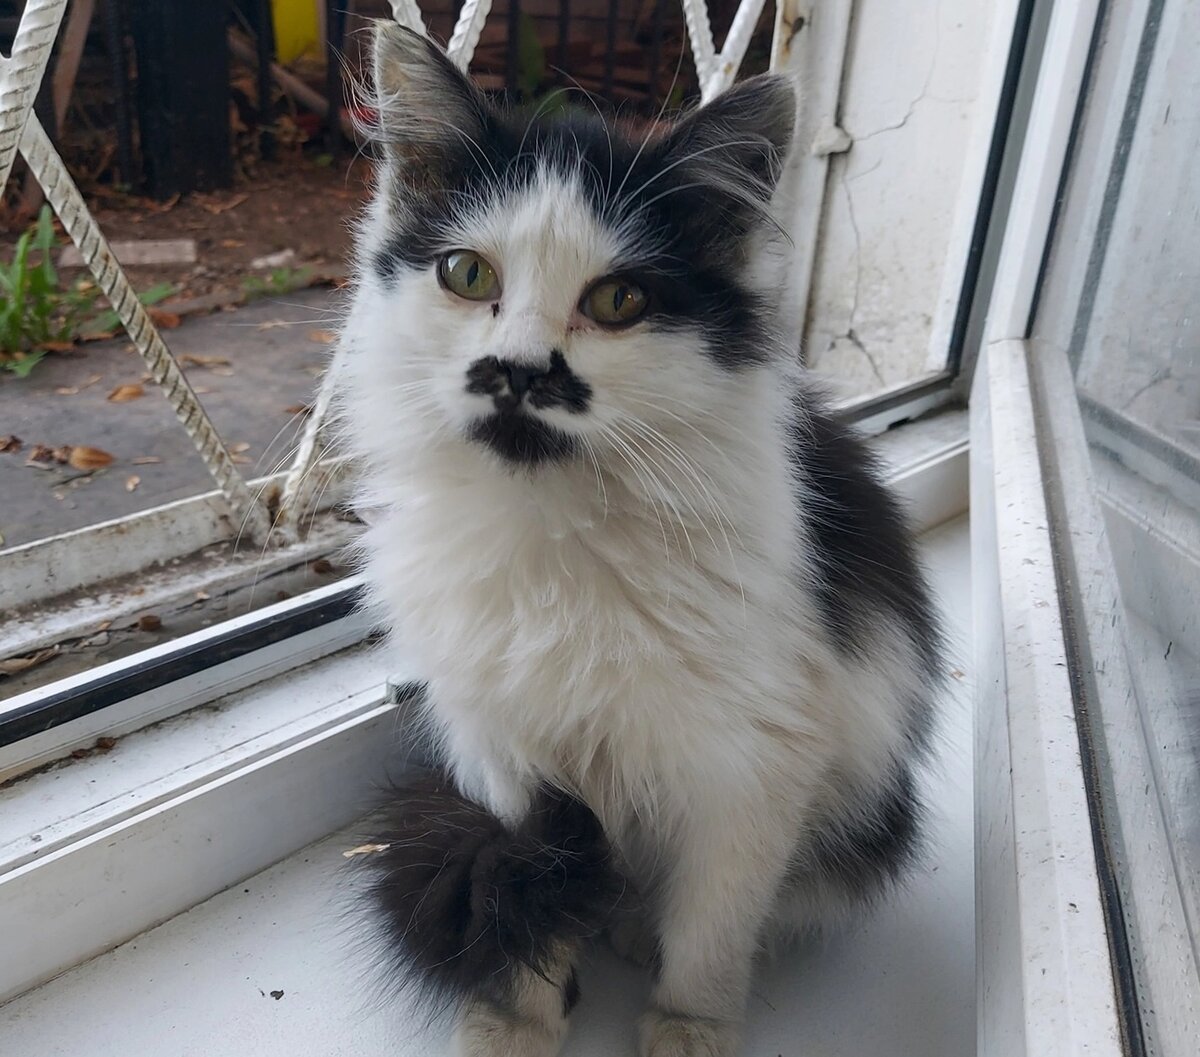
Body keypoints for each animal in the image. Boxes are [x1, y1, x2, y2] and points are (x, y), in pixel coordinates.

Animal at [336, 24, 936, 1055]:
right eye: (467, 275)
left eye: (618, 301)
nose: (518, 371)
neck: (554, 524)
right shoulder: (503, 748)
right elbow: (530, 882)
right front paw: (519, 1017)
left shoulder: (758, 759)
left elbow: (715, 919)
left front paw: (688, 1022)